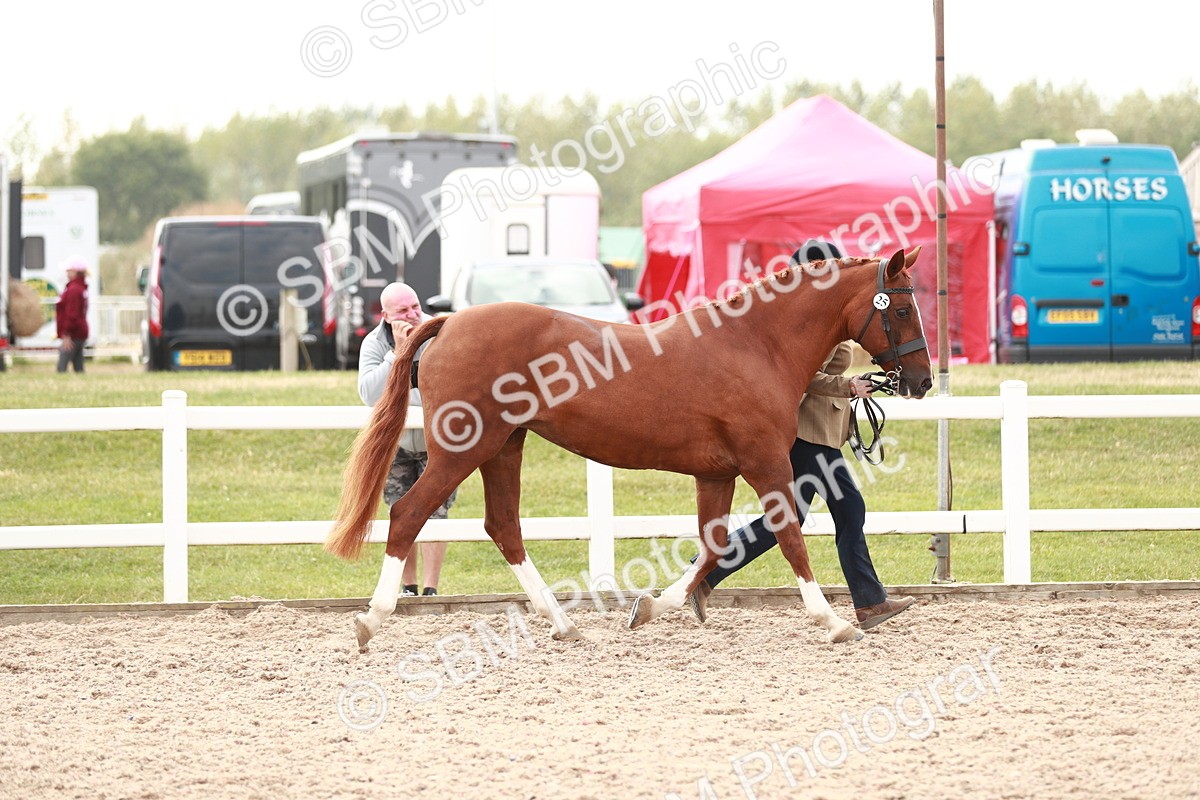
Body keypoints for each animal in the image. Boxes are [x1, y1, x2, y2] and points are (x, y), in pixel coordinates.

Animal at [326, 247, 932, 648]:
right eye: (902, 308)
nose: (922, 381)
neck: (755, 345)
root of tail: (447, 323)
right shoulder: (765, 464)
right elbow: (790, 540)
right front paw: (835, 622)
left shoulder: (717, 474)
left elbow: (713, 545)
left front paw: (652, 606)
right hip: (464, 450)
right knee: (409, 515)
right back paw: (370, 620)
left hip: (504, 447)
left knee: (504, 527)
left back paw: (564, 624)